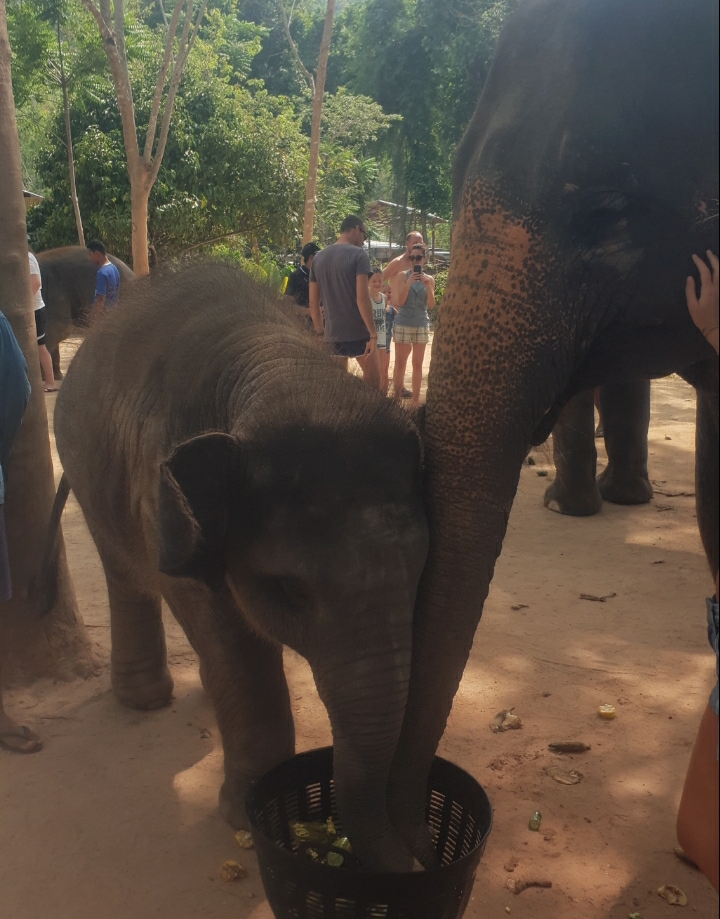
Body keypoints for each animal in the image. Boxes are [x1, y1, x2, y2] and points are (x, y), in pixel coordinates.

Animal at [56, 262, 430, 872]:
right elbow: (229, 636)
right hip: (85, 466)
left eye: (420, 570)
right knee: (126, 574)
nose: (419, 865)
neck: (277, 366)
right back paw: (145, 699)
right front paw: (244, 819)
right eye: (289, 590)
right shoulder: (163, 496)